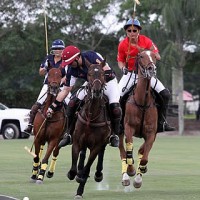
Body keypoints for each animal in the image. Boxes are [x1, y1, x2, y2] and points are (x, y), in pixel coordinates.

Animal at [67, 59, 111, 198]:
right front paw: (74, 174)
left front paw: (79, 189)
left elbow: (87, 170)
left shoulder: (96, 145)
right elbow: (74, 167)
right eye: (90, 74)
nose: (96, 91)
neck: (91, 116)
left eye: (102, 74)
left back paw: (98, 174)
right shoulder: (77, 141)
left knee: (101, 153)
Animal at [119, 50, 159, 188]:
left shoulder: (151, 133)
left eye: (154, 56)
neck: (143, 102)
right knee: (122, 150)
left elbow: (144, 156)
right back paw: (126, 177)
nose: (151, 69)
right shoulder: (128, 128)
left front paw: (139, 177)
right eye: (141, 56)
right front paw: (131, 171)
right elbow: (128, 151)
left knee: (140, 150)